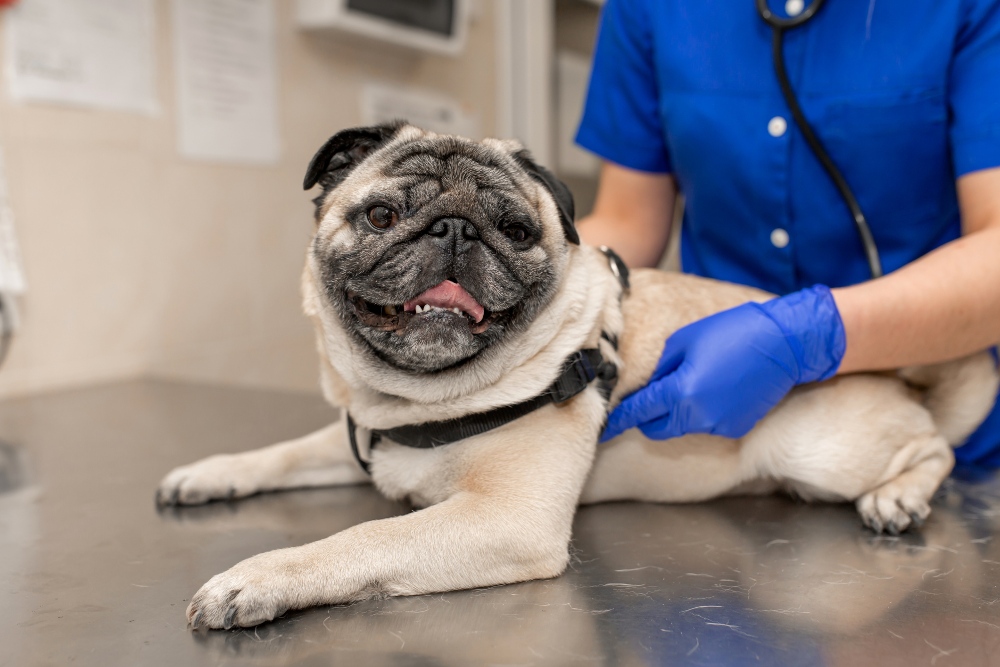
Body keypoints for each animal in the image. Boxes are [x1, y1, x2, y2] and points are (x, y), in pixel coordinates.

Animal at [156, 122, 1000, 628]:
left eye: (516, 230)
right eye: (382, 216)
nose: (455, 229)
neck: (416, 399)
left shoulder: (506, 519)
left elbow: (359, 538)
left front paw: (260, 577)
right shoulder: (358, 435)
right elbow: (278, 454)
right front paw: (209, 473)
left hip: (820, 448)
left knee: (936, 447)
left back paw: (898, 496)